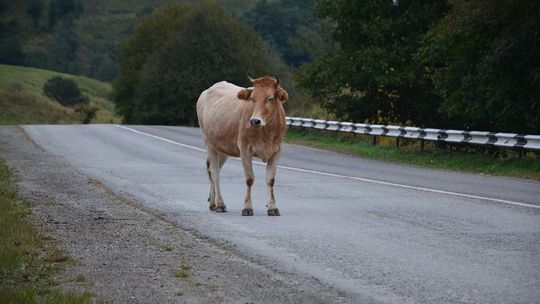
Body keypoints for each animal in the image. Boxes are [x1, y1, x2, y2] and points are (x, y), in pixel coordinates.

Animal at [194, 75, 286, 215]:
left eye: (270, 99)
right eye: (252, 98)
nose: (254, 121)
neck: (267, 132)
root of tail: (207, 91)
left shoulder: (277, 151)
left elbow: (270, 180)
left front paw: (272, 207)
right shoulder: (245, 148)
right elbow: (249, 179)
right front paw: (247, 207)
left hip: (222, 147)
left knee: (213, 170)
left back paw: (213, 203)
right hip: (209, 143)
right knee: (215, 173)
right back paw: (220, 204)